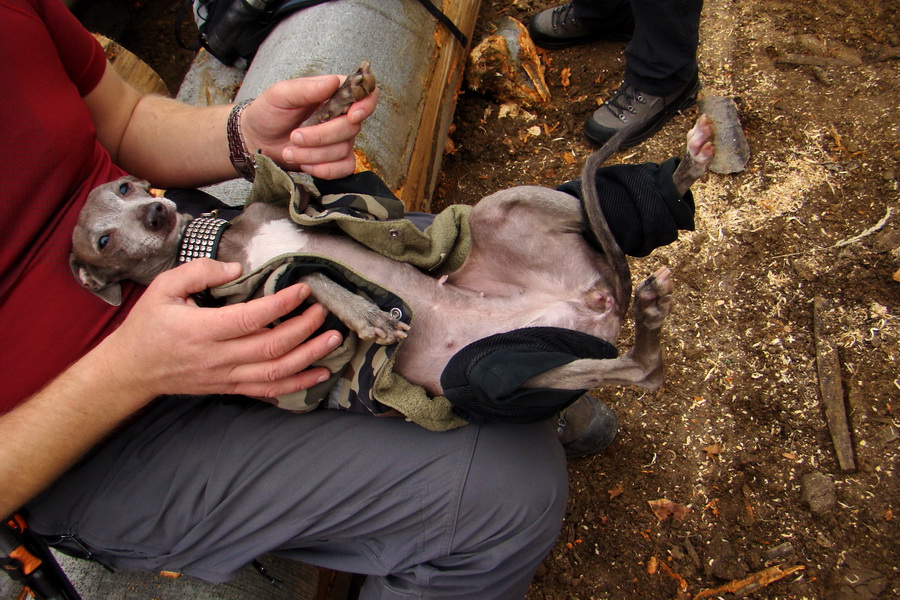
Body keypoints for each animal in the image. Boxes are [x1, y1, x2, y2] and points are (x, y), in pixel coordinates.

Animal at [70, 65, 716, 422]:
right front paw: (367, 315)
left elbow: (299, 146)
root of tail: (596, 301)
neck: (223, 237)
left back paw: (685, 169)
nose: (157, 211)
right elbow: (307, 273)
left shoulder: (296, 193)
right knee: (643, 370)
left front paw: (339, 96)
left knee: (591, 204)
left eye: (126, 186)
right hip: (491, 370)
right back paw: (652, 311)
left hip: (504, 214)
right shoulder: (252, 304)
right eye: (103, 238)